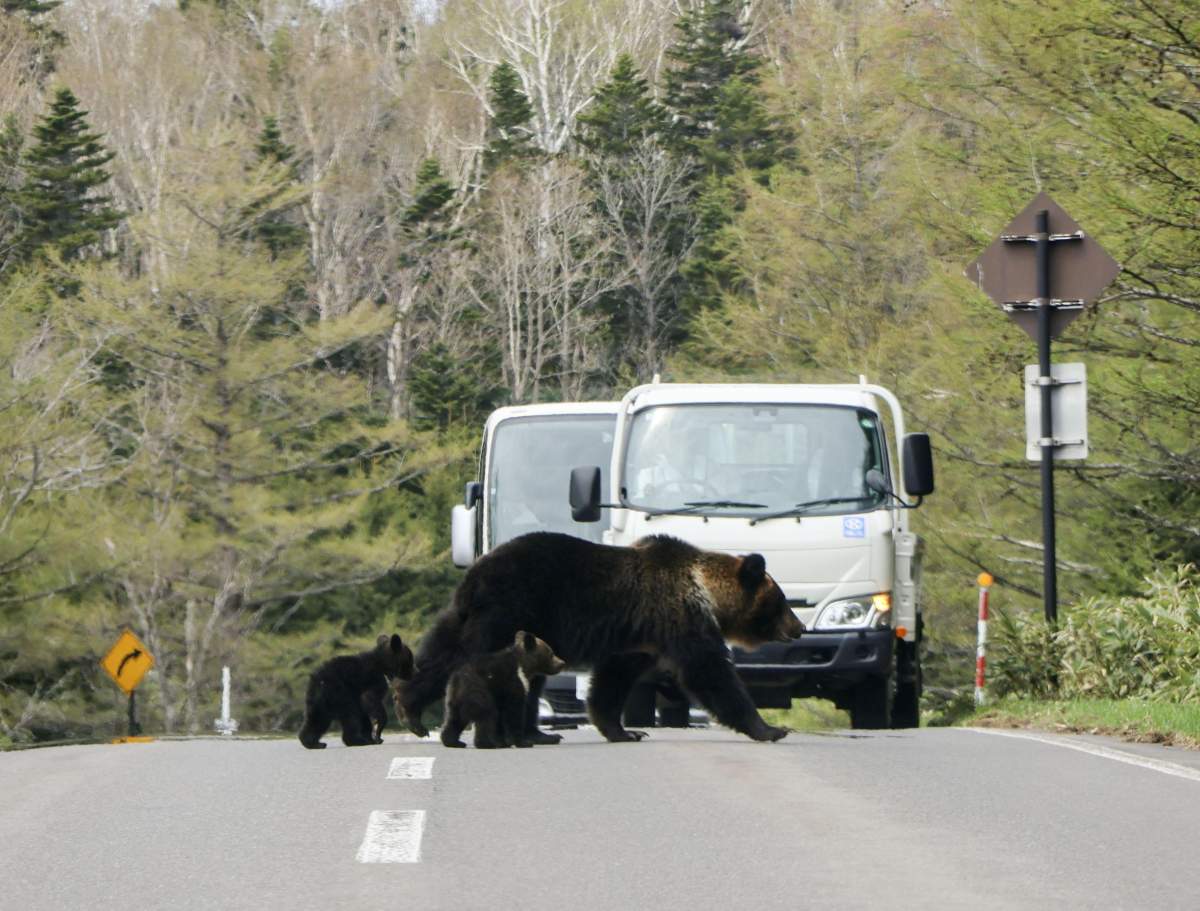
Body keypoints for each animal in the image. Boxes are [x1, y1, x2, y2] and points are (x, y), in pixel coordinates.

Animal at [394, 532, 805, 744]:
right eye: (781, 601)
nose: (798, 627)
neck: (704, 591)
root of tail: (475, 573)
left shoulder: (640, 639)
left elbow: (613, 680)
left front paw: (623, 730)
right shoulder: (678, 618)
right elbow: (710, 672)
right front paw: (770, 728)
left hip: (489, 618)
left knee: (444, 652)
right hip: (511, 610)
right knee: (474, 659)